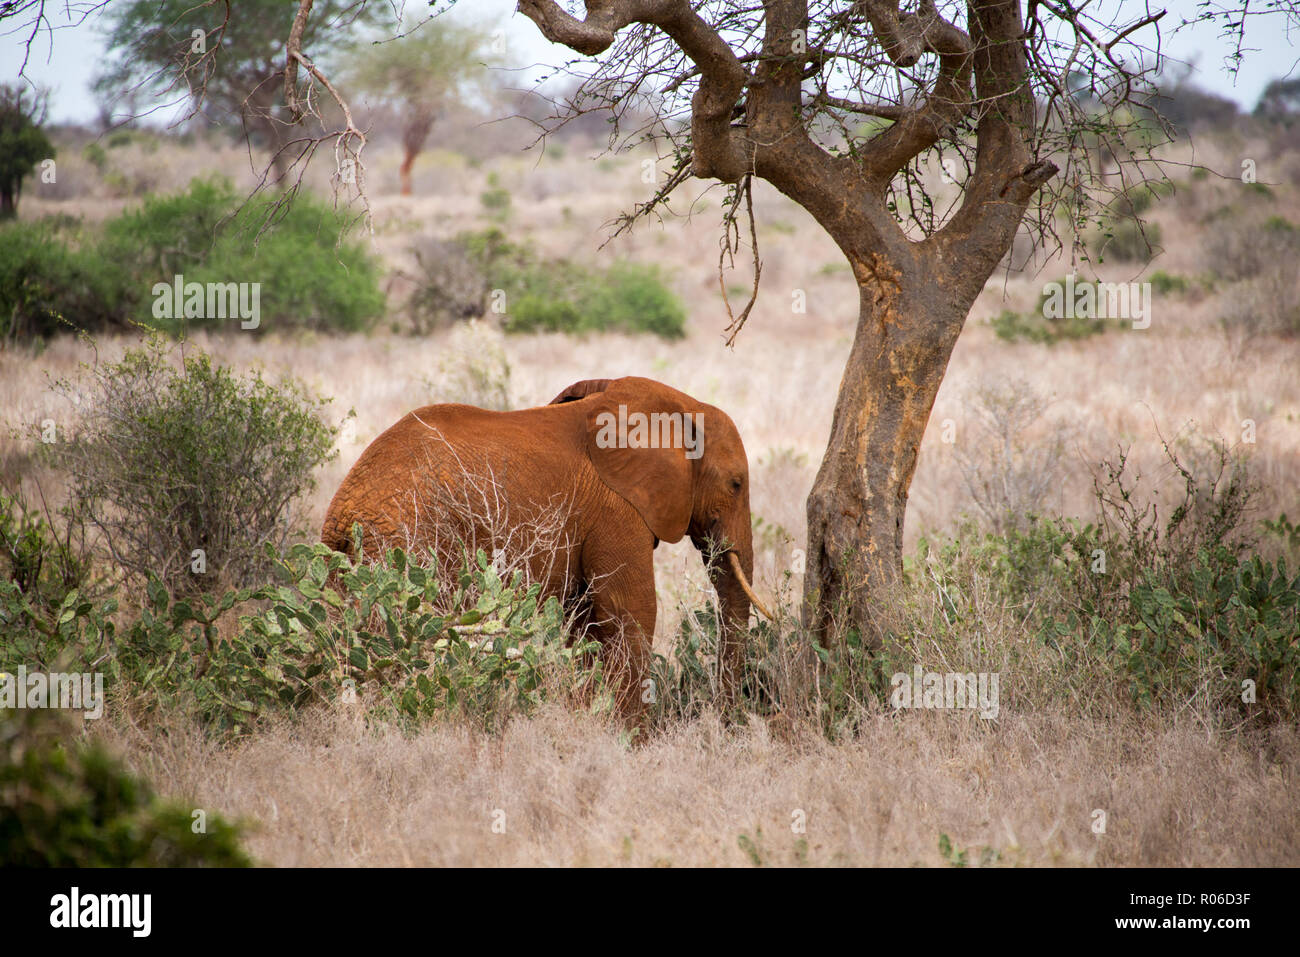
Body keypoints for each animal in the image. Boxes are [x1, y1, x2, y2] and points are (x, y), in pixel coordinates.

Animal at [322, 377, 769, 722]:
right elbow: (630, 613)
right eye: (736, 485)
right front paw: (633, 741)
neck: (682, 406)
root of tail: (341, 512)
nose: (729, 718)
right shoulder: (616, 507)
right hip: (404, 544)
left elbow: (585, 623)